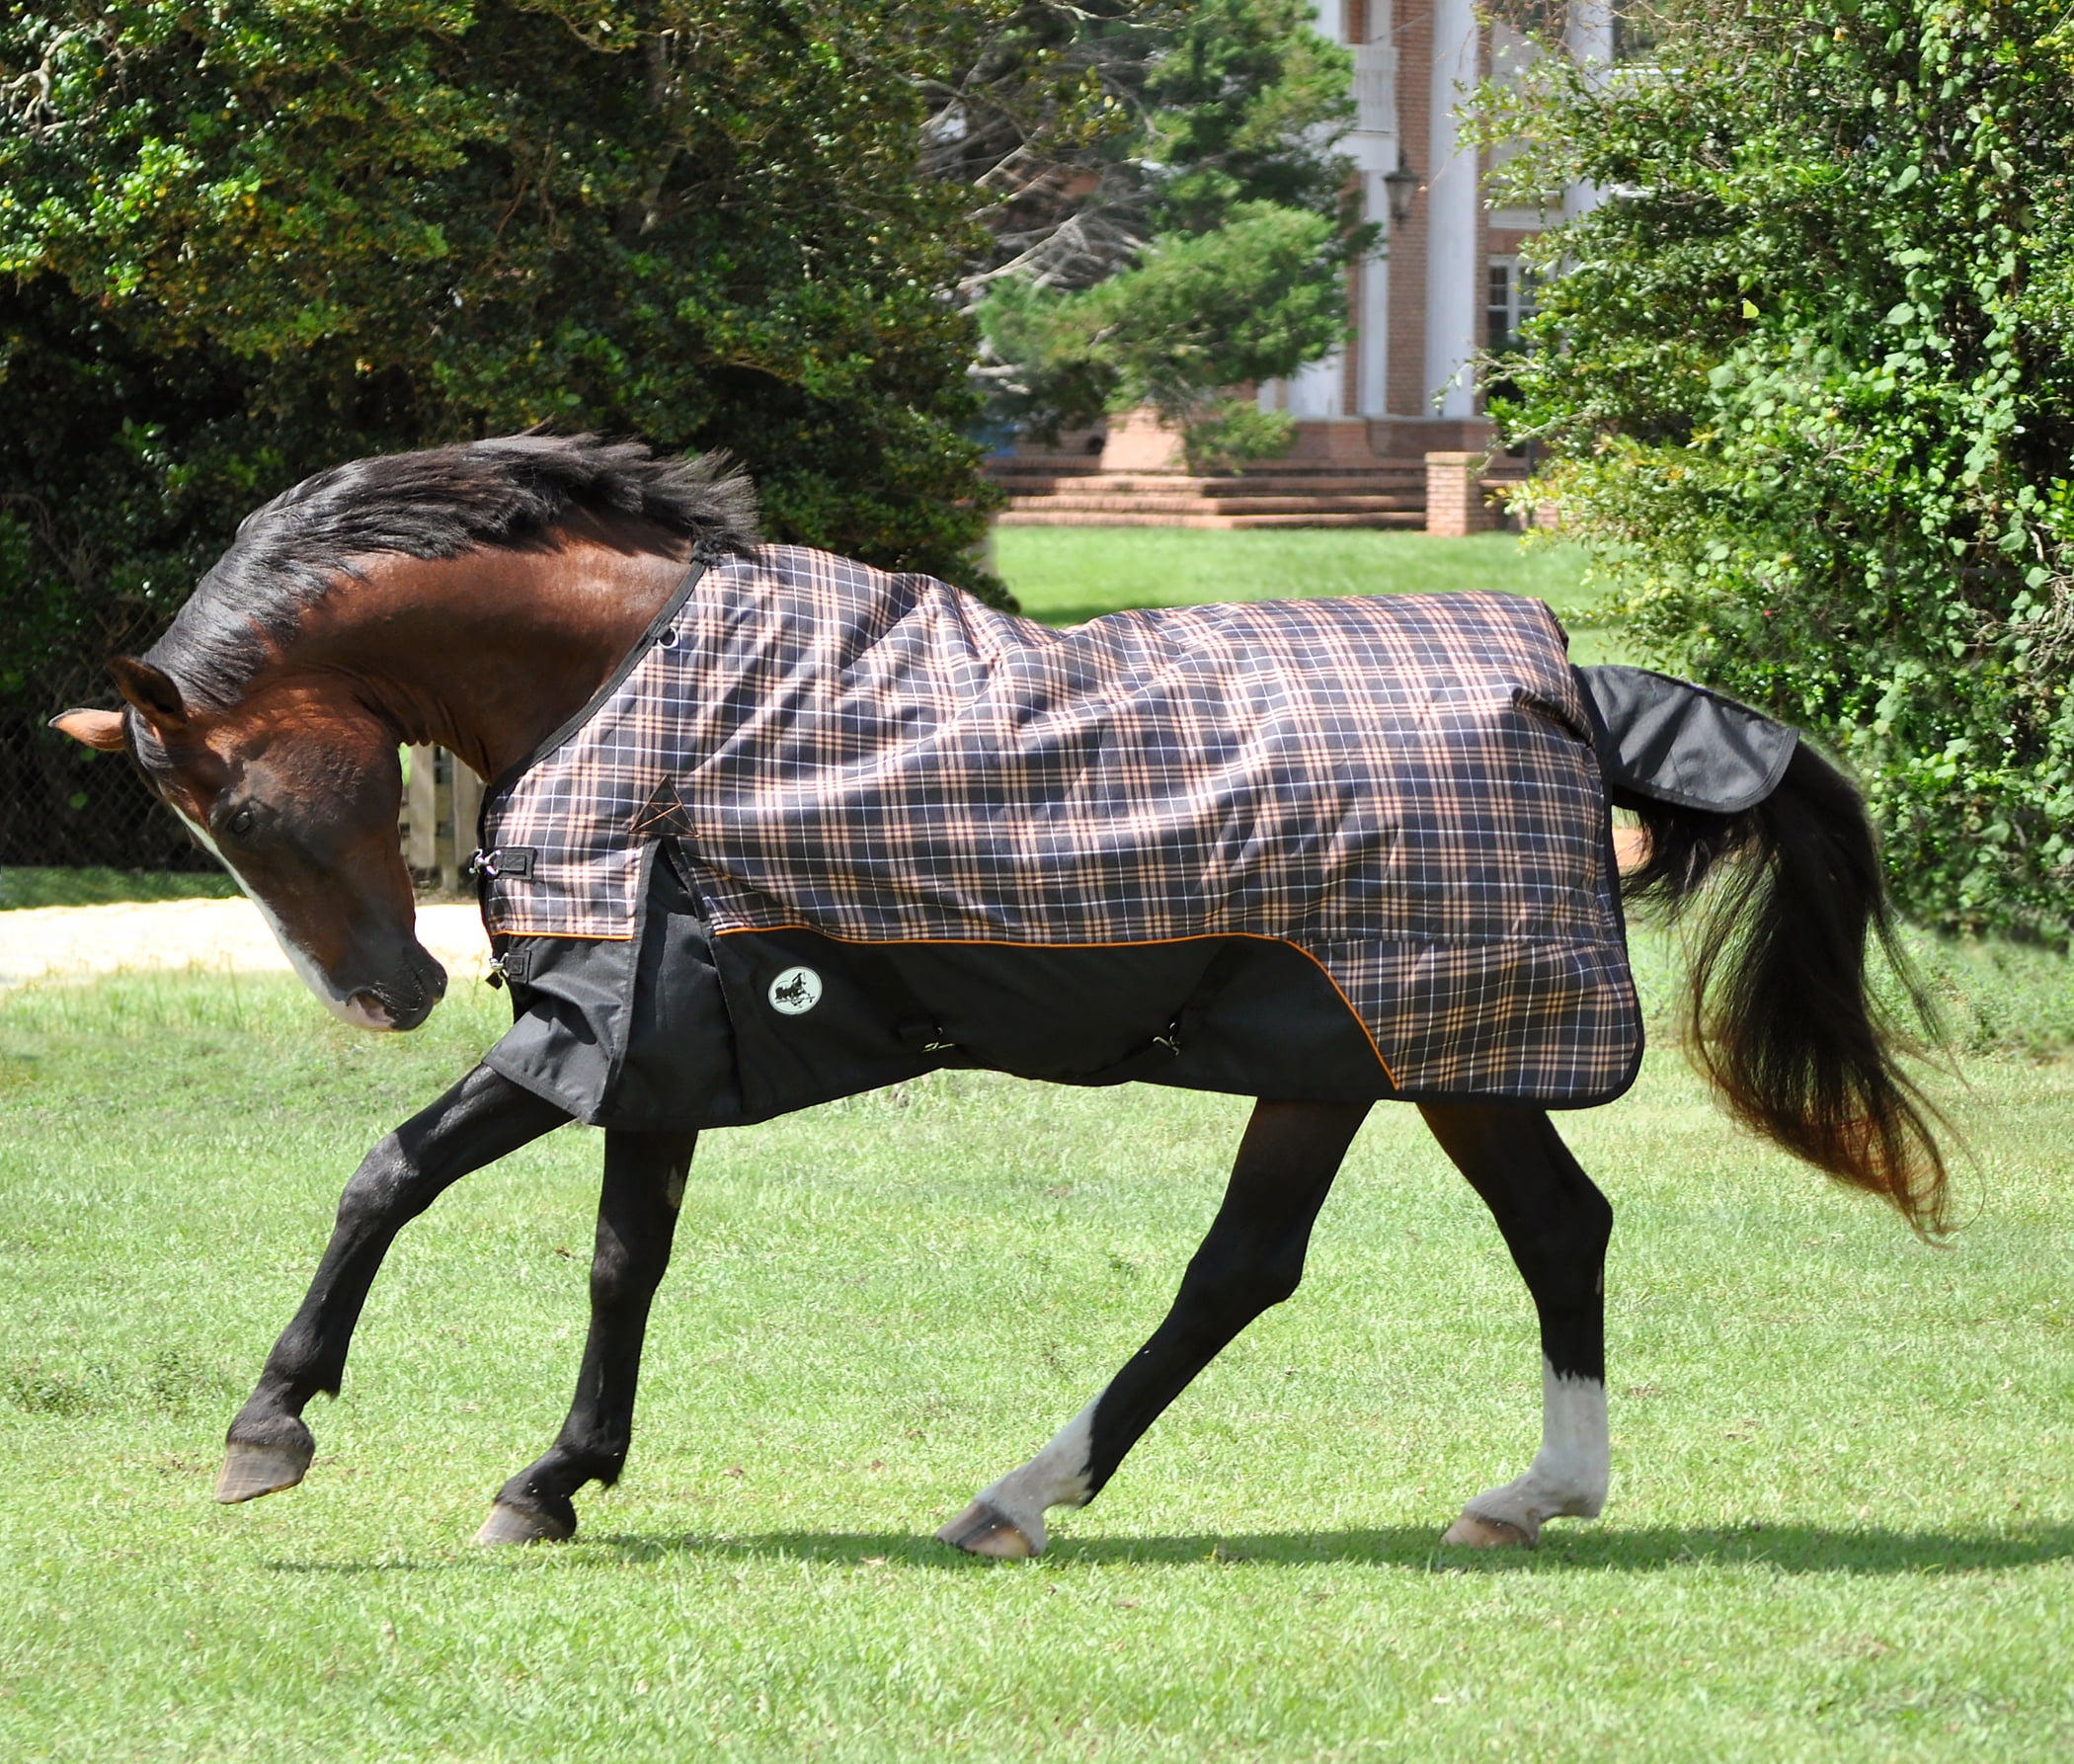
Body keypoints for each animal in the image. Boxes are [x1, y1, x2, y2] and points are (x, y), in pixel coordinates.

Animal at [52, 433, 1946, 1558]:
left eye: (235, 808)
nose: (388, 993)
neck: (637, 681)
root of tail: (1573, 682)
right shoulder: (659, 1036)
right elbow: (618, 1255)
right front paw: (555, 1475)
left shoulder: (600, 1023)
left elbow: (397, 1175)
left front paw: (277, 1425)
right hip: (1368, 1056)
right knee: (1454, 1239)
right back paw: (1517, 1490)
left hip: (1418, 1042)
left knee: (1328, 1259)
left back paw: (1035, 1493)